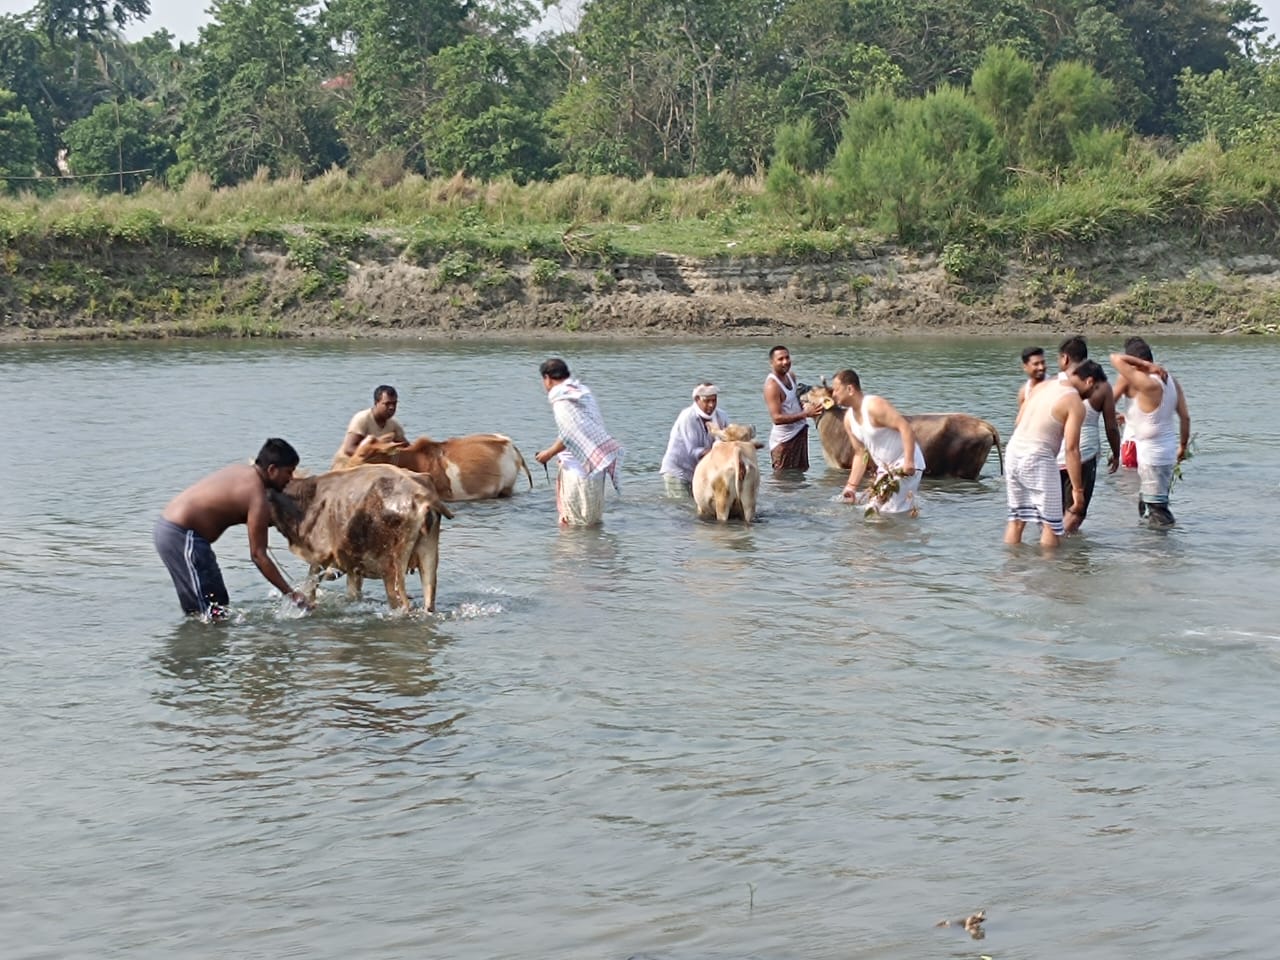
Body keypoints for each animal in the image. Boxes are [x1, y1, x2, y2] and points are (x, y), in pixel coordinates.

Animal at [264, 463, 455, 611]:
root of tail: (423, 494)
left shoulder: (319, 556)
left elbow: (310, 587)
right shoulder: (353, 566)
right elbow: (352, 594)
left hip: (392, 569)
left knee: (403, 605)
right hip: (428, 557)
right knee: (429, 603)